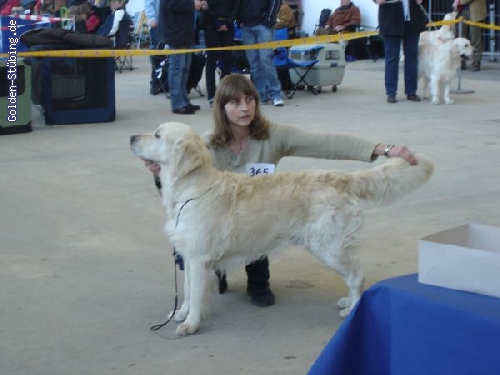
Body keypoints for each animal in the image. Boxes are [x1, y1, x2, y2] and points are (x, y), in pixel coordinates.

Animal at [130, 123, 434, 338]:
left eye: (157, 135)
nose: (132, 137)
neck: (192, 189)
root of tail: (341, 177)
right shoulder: (190, 256)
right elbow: (187, 291)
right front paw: (180, 315)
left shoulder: (199, 257)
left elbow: (194, 295)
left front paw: (190, 324)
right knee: (353, 276)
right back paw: (347, 301)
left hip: (329, 247)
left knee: (357, 275)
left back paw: (353, 309)